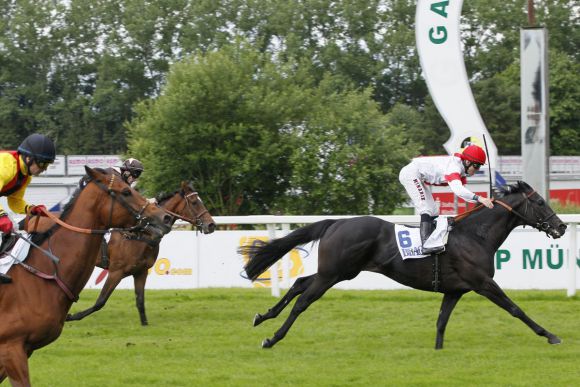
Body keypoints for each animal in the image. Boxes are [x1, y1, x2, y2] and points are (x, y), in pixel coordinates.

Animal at [66, 181, 215, 324]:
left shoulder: (141, 272)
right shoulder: (116, 272)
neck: (142, 236)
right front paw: (71, 316)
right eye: (195, 202)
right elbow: (100, 301)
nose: (211, 225)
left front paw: (145, 324)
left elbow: (140, 301)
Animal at [240, 183, 568, 350]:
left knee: (299, 284)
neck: (476, 235)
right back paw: (272, 338)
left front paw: (438, 351)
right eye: (540, 202)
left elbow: (441, 321)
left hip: (337, 272)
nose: (562, 226)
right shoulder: (483, 283)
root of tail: (337, 222)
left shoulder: (455, 290)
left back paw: (262, 316)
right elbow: (515, 309)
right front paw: (550, 335)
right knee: (303, 302)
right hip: (333, 274)